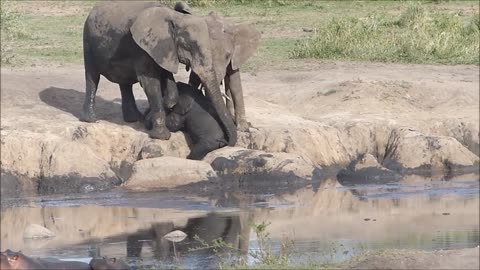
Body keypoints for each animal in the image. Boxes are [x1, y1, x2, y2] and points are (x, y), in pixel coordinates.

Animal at [80, 1, 258, 146]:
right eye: (189, 46)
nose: (226, 141)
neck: (175, 17)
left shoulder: (164, 49)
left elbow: (168, 80)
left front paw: (163, 108)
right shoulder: (142, 47)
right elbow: (150, 83)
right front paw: (162, 136)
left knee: (125, 83)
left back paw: (135, 119)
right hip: (88, 40)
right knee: (92, 77)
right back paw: (91, 119)